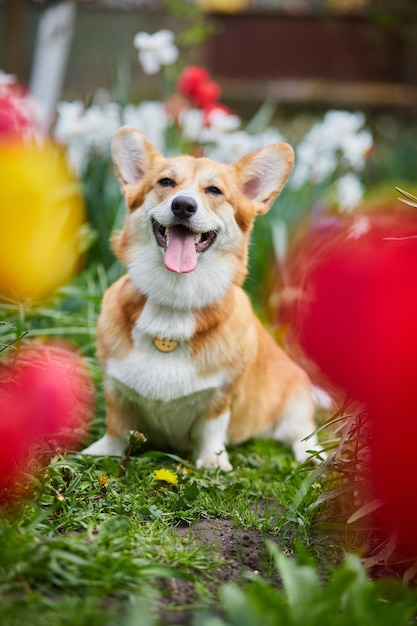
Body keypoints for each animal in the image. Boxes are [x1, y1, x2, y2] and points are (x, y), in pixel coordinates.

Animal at [82, 127, 322, 468]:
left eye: (214, 190)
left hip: (296, 398)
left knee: (301, 432)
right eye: (165, 183)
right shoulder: (116, 387)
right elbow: (117, 425)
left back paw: (313, 456)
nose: (183, 205)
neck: (174, 301)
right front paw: (103, 451)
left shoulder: (220, 397)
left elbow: (211, 429)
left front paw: (212, 462)